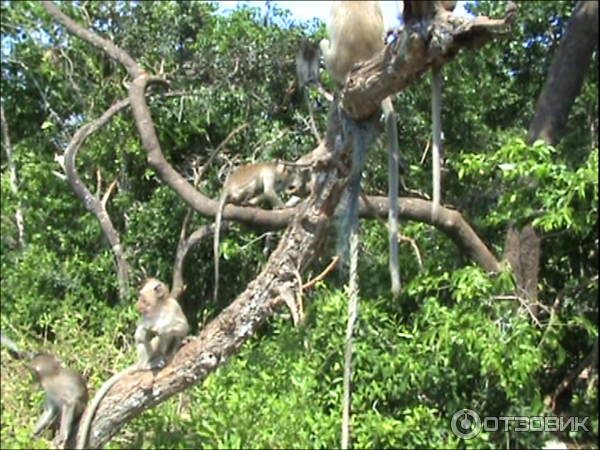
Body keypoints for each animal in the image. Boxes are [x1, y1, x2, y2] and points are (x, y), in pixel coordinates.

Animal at [75, 278, 188, 450]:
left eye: (142, 297)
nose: (137, 305)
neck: (158, 308)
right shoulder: (146, 319)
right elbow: (140, 336)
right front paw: (146, 332)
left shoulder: (173, 306)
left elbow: (182, 327)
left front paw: (163, 328)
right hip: (145, 357)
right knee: (150, 341)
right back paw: (148, 364)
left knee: (170, 337)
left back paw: (171, 352)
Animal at [213, 162, 292, 302]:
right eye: (286, 173)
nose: (285, 184)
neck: (273, 167)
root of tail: (227, 186)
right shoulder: (270, 174)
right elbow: (269, 191)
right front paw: (284, 207)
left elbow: (265, 193)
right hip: (240, 190)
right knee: (254, 183)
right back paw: (242, 201)